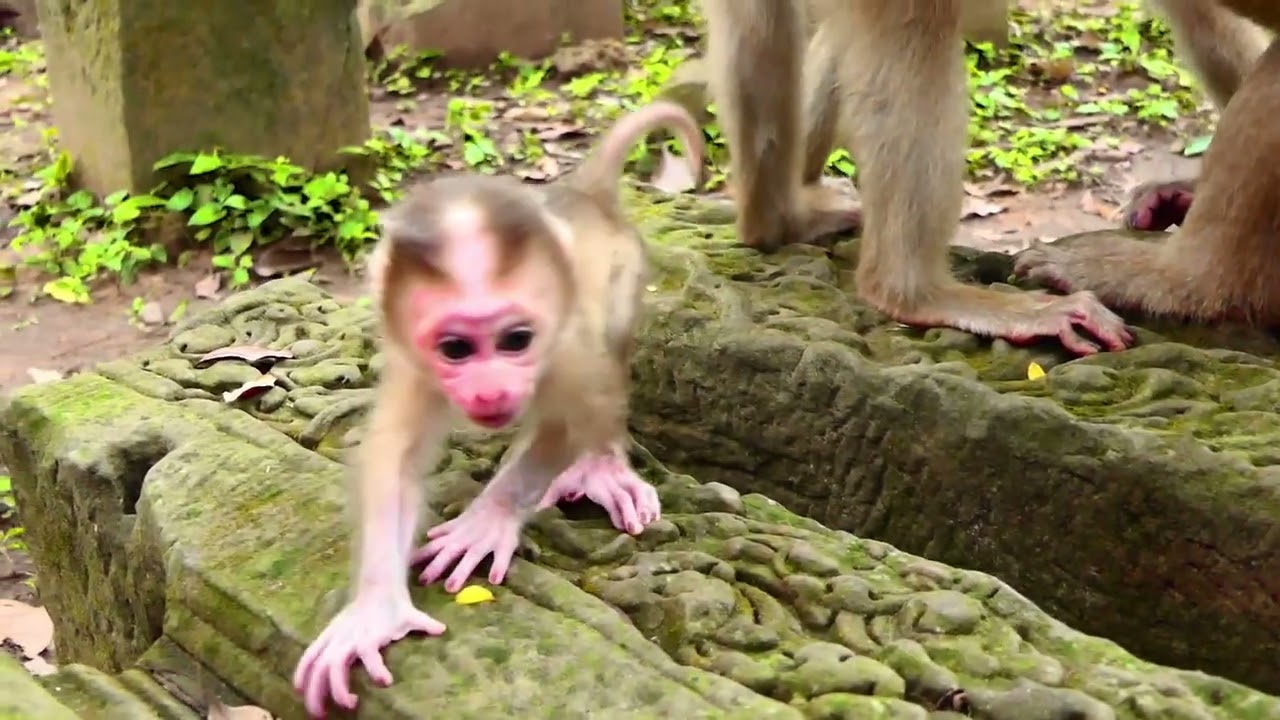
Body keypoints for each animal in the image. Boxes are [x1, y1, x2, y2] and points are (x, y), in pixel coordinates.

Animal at [291, 100, 703, 718]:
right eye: (456, 349)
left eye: (515, 340)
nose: (489, 392)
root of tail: (584, 195)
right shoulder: (412, 361)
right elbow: (394, 457)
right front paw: (375, 610)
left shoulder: (564, 345)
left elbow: (569, 418)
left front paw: (488, 519)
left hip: (626, 271)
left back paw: (601, 465)